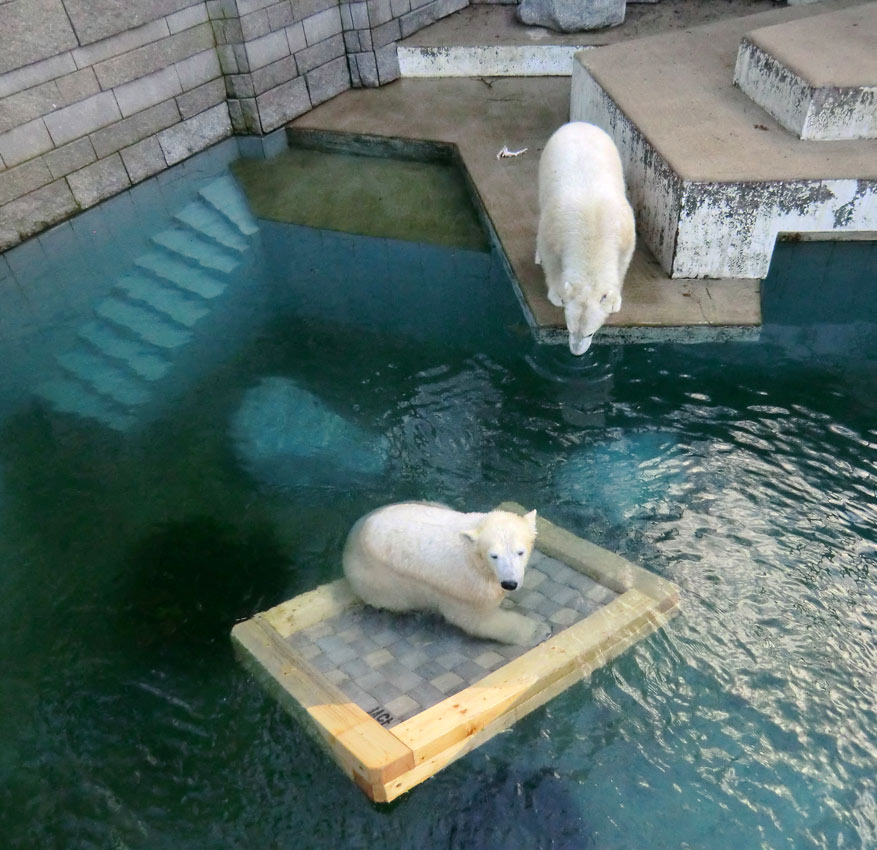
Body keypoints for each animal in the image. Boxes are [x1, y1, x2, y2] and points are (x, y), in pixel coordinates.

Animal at [338, 504, 544, 644]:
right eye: (494, 555)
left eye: (520, 552)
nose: (509, 583)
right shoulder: (464, 587)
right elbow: (480, 621)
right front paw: (539, 630)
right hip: (380, 580)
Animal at [536, 120, 632, 354]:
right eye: (570, 330)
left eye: (589, 333)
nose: (576, 352)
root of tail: (579, 123)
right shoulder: (554, 228)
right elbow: (550, 257)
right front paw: (556, 295)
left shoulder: (624, 231)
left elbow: (623, 262)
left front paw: (614, 300)